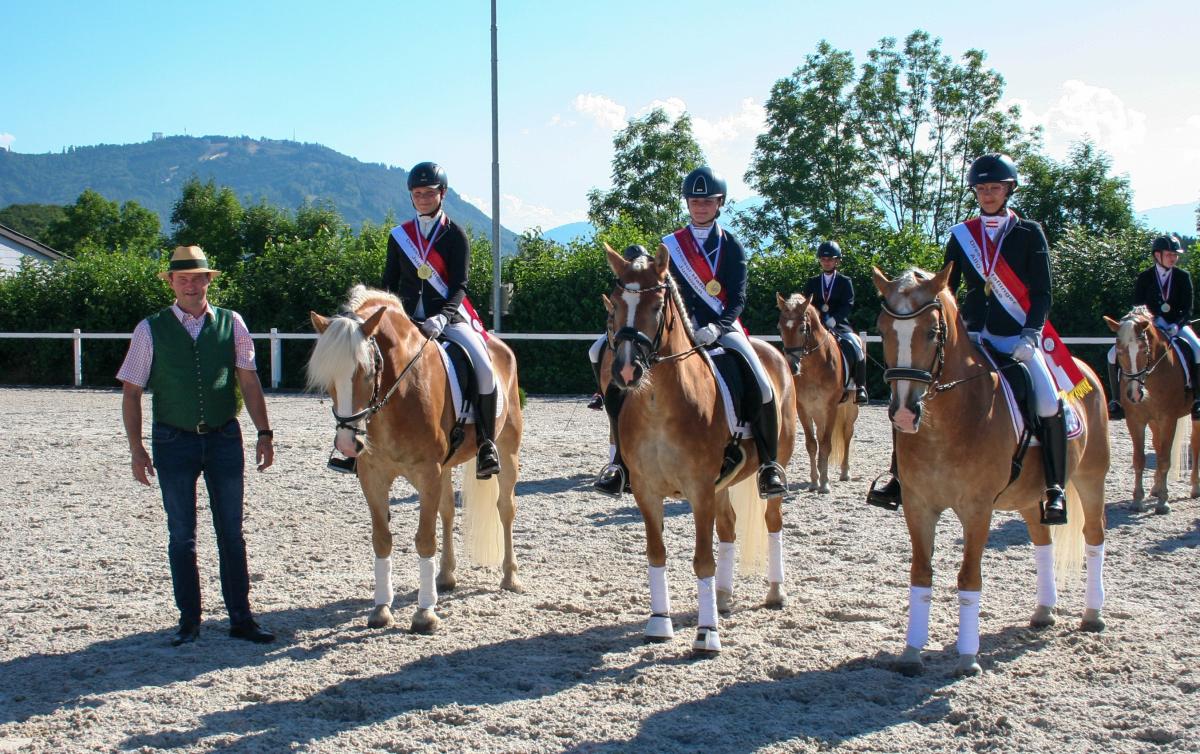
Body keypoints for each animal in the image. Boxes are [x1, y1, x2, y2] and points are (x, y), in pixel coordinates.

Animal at [304, 285, 520, 633]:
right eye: (329, 379)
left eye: (367, 372)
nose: (348, 443)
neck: (396, 393)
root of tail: (498, 345)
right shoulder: (374, 476)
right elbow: (382, 539)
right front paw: (381, 608)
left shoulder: (427, 472)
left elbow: (424, 539)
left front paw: (424, 614)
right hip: (445, 468)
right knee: (447, 511)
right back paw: (445, 577)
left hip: (507, 448)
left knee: (505, 509)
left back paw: (510, 577)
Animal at [600, 242, 796, 653]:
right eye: (614, 304)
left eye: (657, 306)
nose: (625, 371)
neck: (658, 403)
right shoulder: (647, 491)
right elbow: (656, 553)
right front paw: (660, 622)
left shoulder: (700, 489)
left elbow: (702, 559)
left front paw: (707, 635)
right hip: (722, 485)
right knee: (730, 528)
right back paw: (722, 598)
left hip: (772, 466)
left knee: (772, 521)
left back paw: (774, 592)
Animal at [777, 290, 864, 494]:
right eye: (780, 328)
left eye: (802, 329)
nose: (791, 367)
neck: (814, 366)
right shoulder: (803, 408)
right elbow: (811, 444)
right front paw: (814, 481)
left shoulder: (831, 408)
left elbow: (826, 444)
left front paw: (824, 483)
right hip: (817, 411)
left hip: (850, 408)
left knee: (847, 433)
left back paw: (845, 472)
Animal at [873, 265, 1104, 677]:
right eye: (882, 331)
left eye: (931, 332)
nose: (903, 414)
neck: (946, 424)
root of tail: (1082, 369)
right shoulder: (918, 506)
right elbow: (920, 572)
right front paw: (911, 653)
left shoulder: (977, 510)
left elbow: (968, 576)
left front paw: (968, 659)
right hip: (1030, 496)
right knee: (1042, 540)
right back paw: (1044, 611)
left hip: (1091, 477)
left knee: (1094, 536)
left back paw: (1092, 615)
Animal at [1104, 306, 1200, 511]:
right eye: (1120, 352)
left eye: (1143, 350)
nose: (1134, 394)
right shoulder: (1135, 420)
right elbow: (1139, 459)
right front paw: (1137, 500)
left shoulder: (1168, 419)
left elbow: (1164, 459)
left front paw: (1163, 502)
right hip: (1154, 421)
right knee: (1157, 444)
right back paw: (1155, 488)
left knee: (1195, 444)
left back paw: (1195, 487)